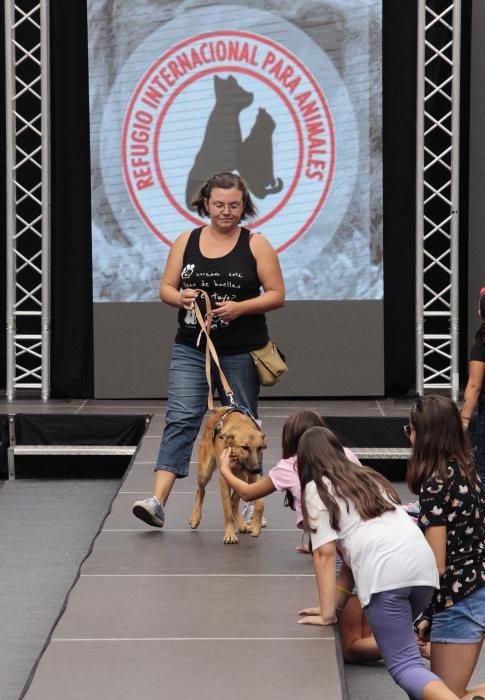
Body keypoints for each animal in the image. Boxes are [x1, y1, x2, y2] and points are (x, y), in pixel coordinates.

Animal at [188, 408, 264, 544]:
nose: (257, 469)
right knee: (200, 491)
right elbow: (227, 510)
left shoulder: (252, 478)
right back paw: (195, 517)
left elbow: (260, 502)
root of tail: (218, 409)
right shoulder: (224, 480)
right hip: (205, 472)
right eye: (245, 447)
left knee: (234, 502)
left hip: (242, 479)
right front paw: (229, 534)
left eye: (259, 448)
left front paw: (256, 526)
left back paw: (242, 524)